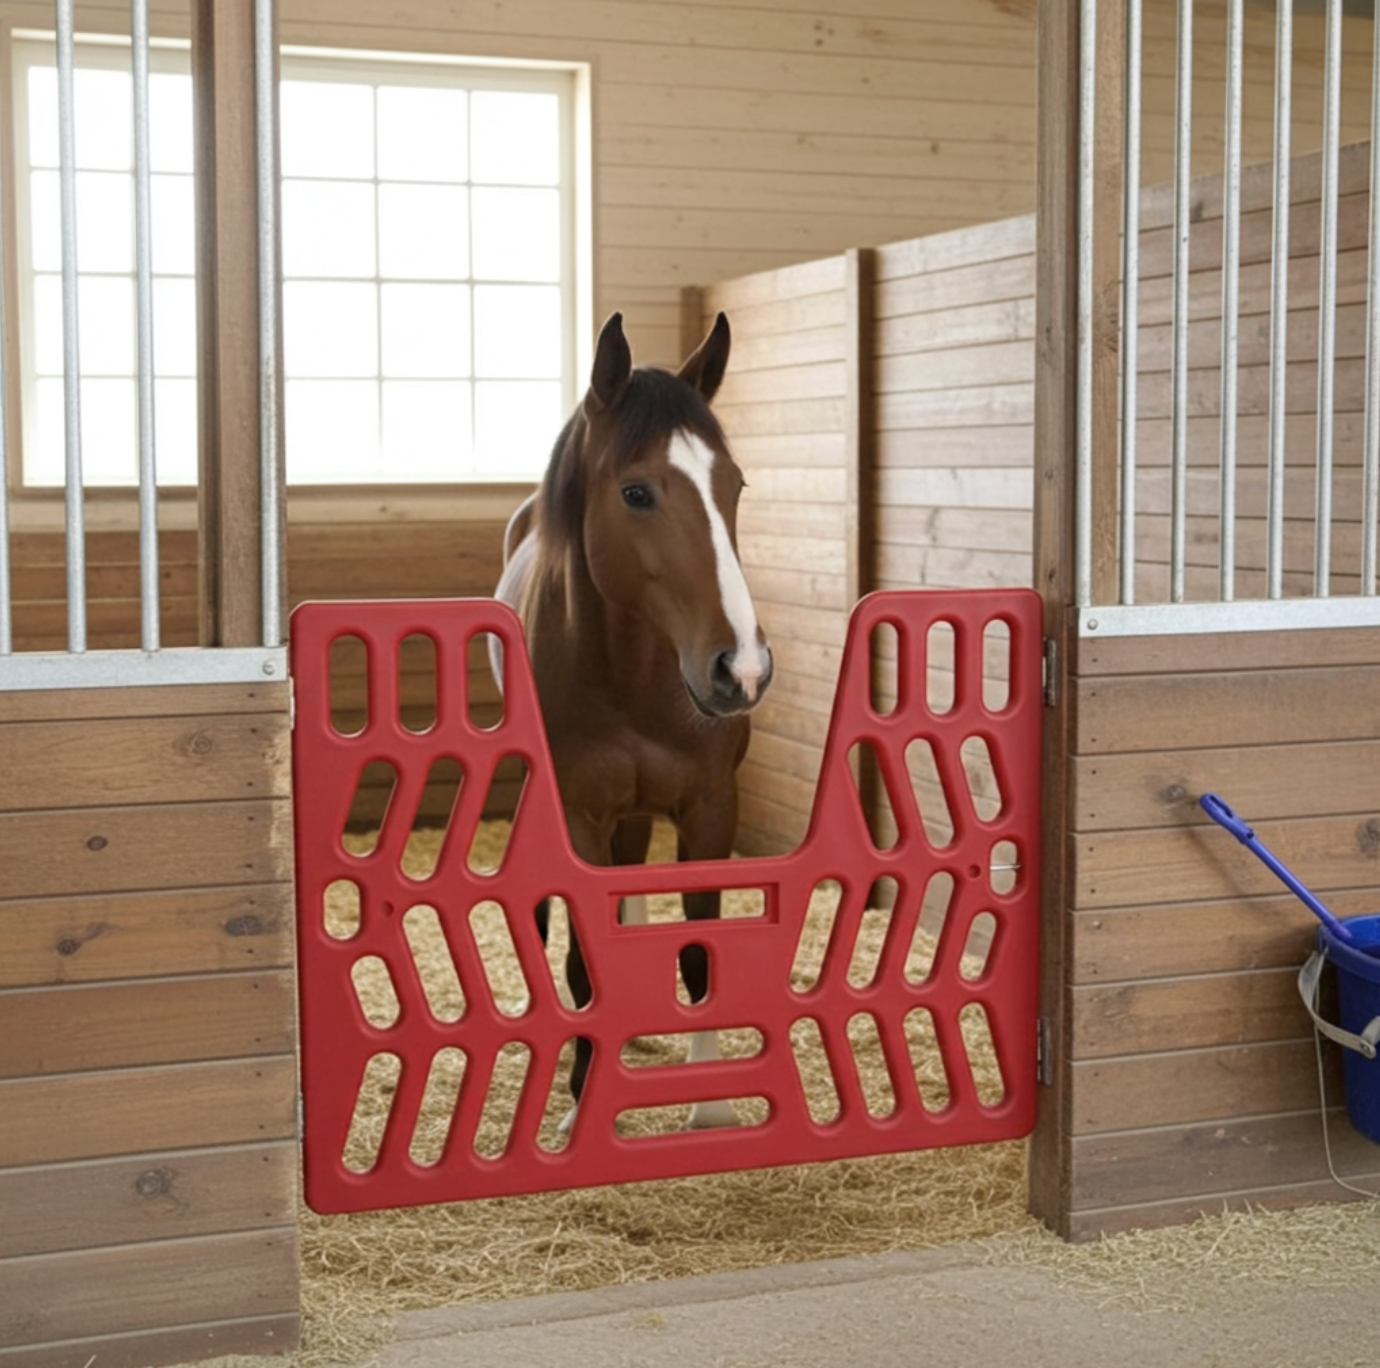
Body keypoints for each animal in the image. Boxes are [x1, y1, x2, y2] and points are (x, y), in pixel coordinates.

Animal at [493, 310, 773, 1130]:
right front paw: (583, 1104)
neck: (637, 682)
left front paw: (711, 1106)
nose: (742, 669)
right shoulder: (581, 815)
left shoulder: (711, 806)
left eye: (734, 484)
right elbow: (586, 961)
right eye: (638, 492)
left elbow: (701, 951)